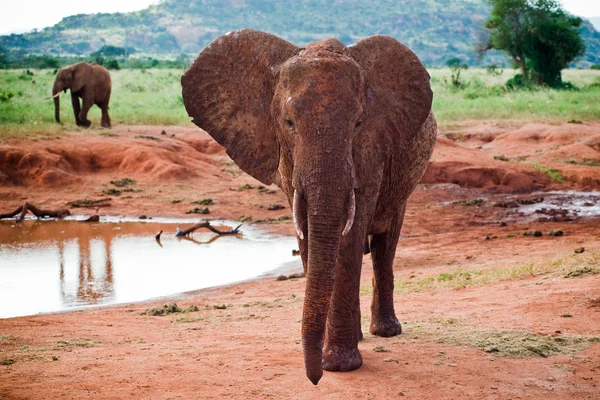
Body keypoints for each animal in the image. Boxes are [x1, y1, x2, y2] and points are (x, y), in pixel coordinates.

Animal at [179, 28, 436, 384]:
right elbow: (307, 236)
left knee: (385, 246)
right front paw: (330, 359)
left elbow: (349, 237)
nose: (314, 379)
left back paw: (385, 332)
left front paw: (338, 365)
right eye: (288, 122)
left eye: (358, 123)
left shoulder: (372, 150)